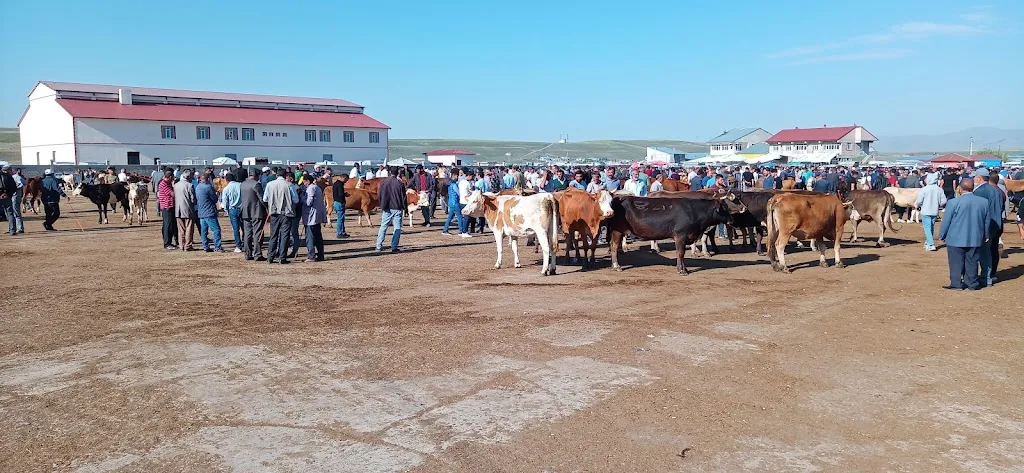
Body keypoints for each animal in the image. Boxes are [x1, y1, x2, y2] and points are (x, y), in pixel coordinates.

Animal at [606, 193, 745, 274]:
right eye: (724, 208)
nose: (732, 220)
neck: (695, 211)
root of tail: (619, 198)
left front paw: (685, 268)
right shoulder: (680, 235)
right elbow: (680, 253)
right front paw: (682, 270)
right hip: (618, 230)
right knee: (614, 246)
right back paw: (616, 265)